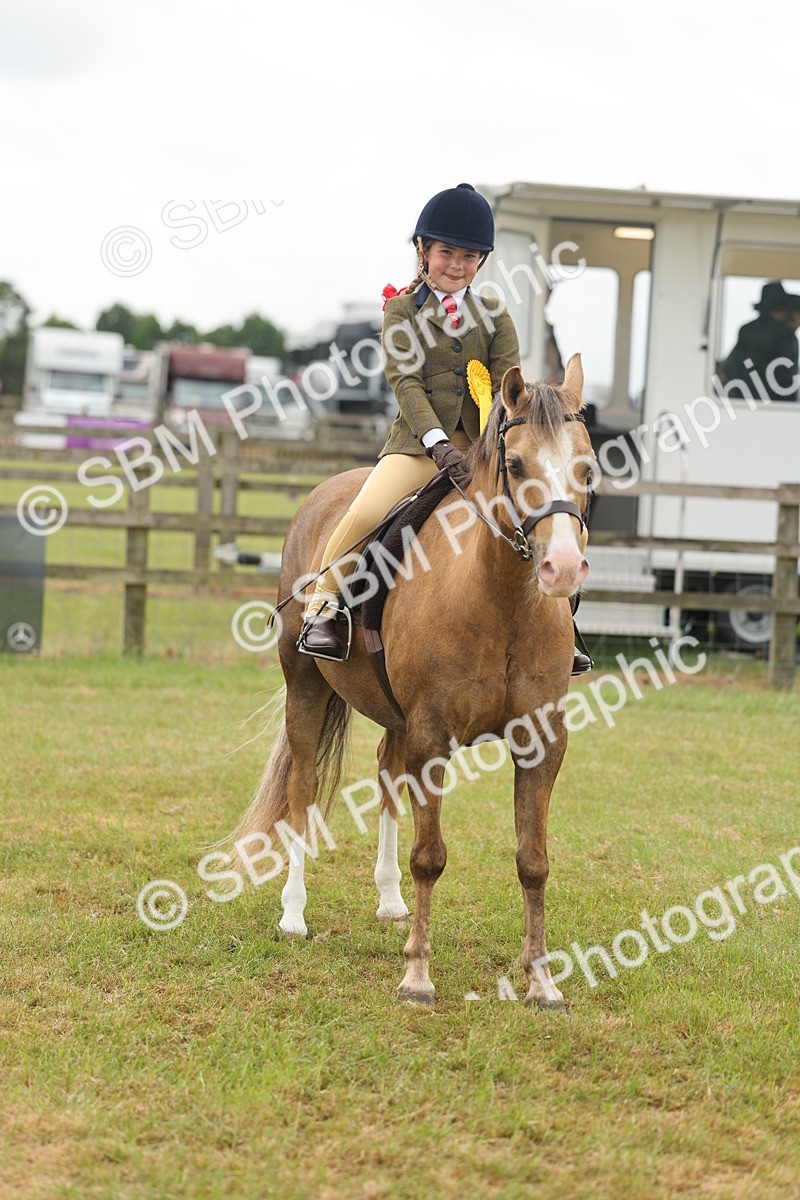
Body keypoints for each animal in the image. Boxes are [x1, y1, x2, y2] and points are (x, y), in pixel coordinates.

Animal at [231, 354, 595, 1008]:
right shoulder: (433, 735)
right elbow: (430, 856)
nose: (562, 569)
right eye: (516, 465)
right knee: (302, 790)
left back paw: (389, 899)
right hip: (306, 689)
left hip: (397, 715)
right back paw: (294, 913)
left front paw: (542, 980)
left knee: (384, 776)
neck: (500, 599)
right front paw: (418, 976)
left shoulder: (541, 741)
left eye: (587, 467)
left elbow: (533, 860)